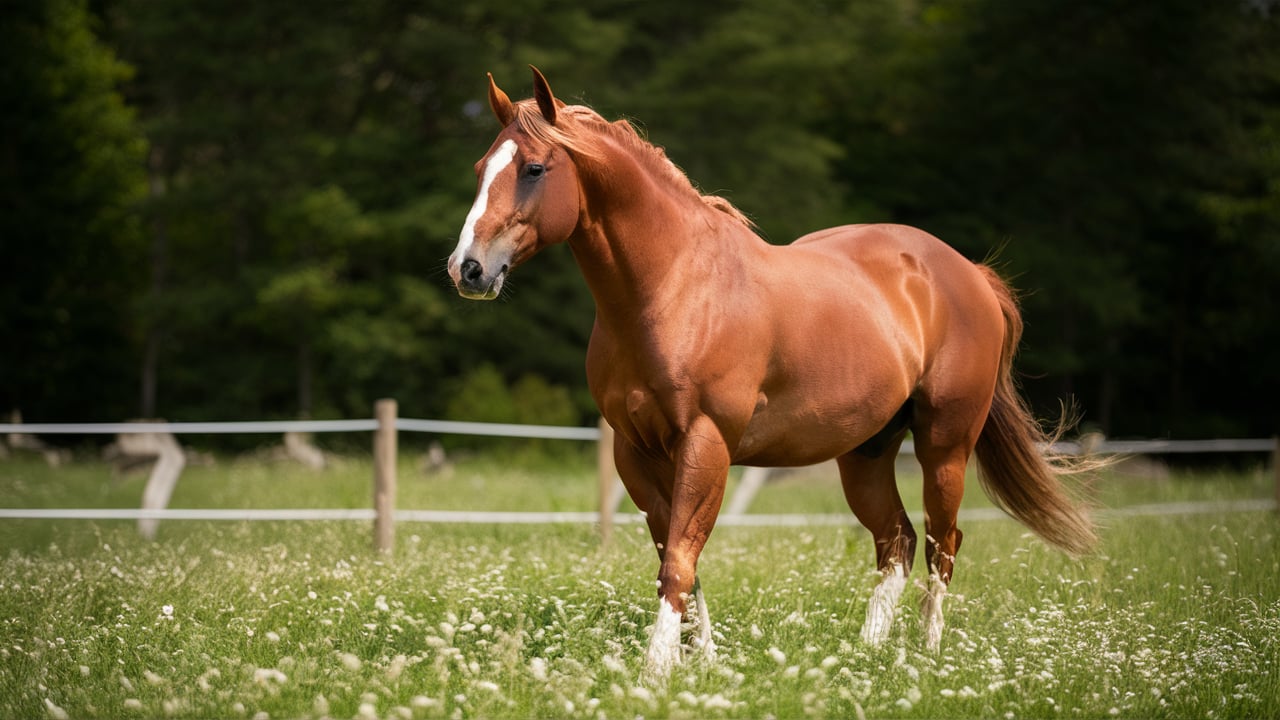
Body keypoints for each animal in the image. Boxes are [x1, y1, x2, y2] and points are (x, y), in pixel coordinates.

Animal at [447, 67, 1097, 677]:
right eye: (480, 167)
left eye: (534, 168)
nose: (467, 268)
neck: (673, 287)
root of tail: (969, 274)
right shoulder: (636, 452)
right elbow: (677, 558)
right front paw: (702, 661)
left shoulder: (706, 442)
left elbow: (679, 559)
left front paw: (657, 669)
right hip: (866, 453)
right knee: (898, 542)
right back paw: (865, 655)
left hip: (945, 447)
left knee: (944, 542)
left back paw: (926, 654)